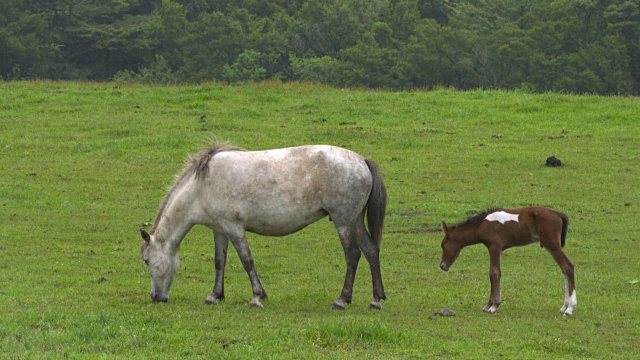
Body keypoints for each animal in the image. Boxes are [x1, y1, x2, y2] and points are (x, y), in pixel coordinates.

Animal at [139, 143, 388, 310]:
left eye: (147, 261)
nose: (155, 297)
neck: (202, 186)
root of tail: (362, 161)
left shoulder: (234, 228)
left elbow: (247, 261)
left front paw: (257, 297)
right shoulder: (220, 230)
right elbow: (220, 262)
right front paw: (215, 296)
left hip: (343, 221)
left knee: (353, 255)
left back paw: (341, 300)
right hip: (354, 221)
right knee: (371, 251)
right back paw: (376, 299)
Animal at [438, 207, 576, 316]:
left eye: (443, 245)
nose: (442, 266)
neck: (481, 225)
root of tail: (558, 214)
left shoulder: (495, 246)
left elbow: (494, 273)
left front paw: (493, 306)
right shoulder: (493, 248)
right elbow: (492, 273)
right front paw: (488, 305)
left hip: (552, 245)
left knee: (568, 266)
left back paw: (570, 308)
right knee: (564, 269)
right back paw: (564, 306)